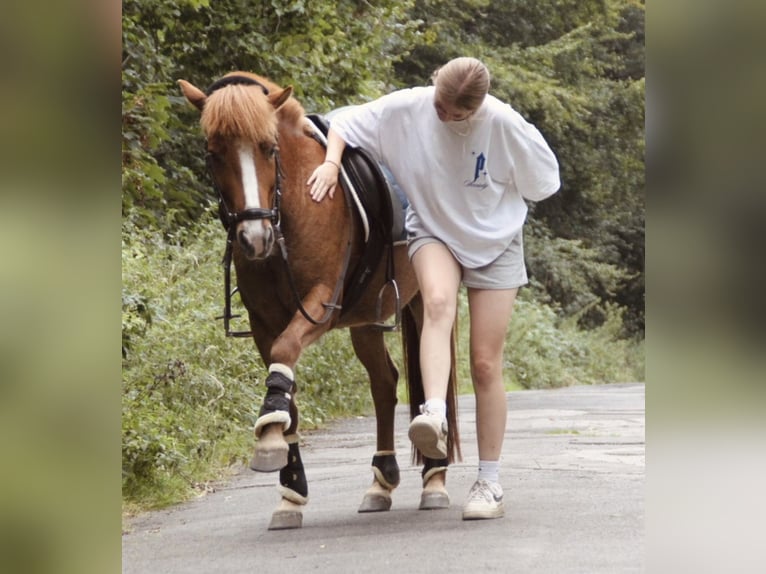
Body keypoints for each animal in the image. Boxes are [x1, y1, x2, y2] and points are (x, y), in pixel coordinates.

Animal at [178, 71, 461, 530]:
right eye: (213, 153)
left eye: (268, 147)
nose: (253, 238)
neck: (289, 213)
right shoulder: (263, 322)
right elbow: (285, 384)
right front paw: (289, 484)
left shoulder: (320, 305)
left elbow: (286, 350)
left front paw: (271, 446)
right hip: (366, 317)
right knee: (384, 382)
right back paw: (381, 480)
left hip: (423, 300)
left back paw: (434, 478)